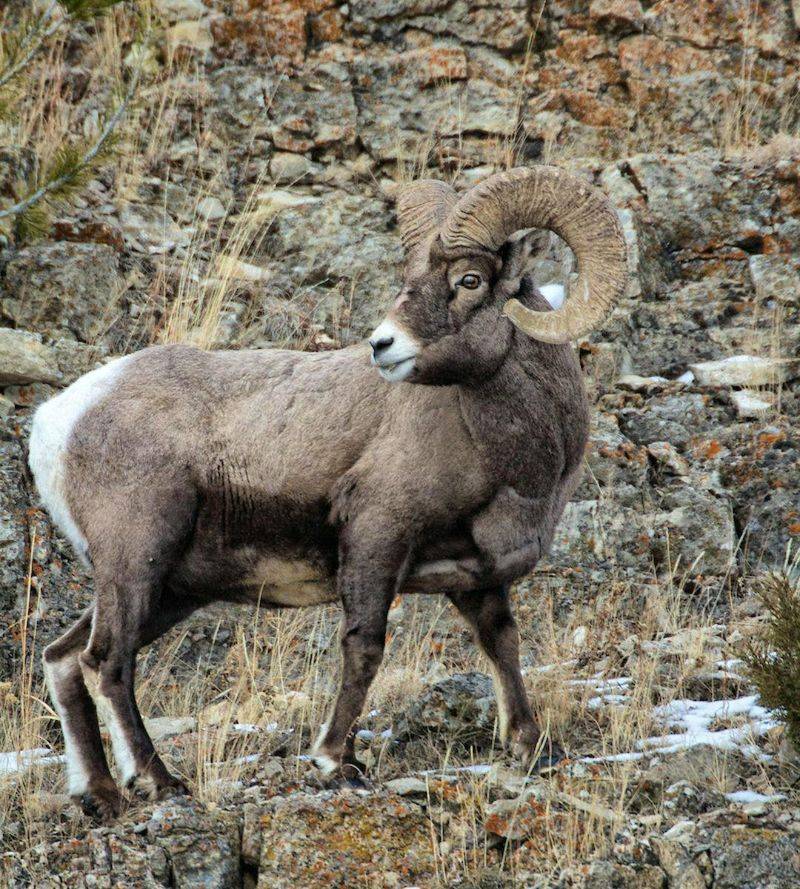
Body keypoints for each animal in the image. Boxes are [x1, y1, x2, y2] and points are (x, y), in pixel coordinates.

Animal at [28, 166, 628, 820]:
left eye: (469, 281)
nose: (383, 346)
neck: (511, 456)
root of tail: (60, 419)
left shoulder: (479, 577)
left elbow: (503, 645)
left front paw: (530, 746)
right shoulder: (377, 537)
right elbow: (365, 646)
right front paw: (335, 761)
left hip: (167, 589)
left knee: (64, 659)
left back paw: (99, 794)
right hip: (137, 563)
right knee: (107, 663)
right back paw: (160, 782)